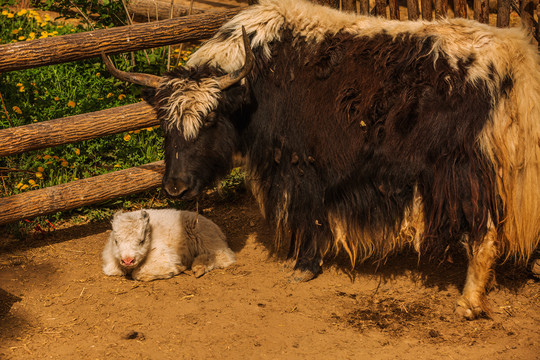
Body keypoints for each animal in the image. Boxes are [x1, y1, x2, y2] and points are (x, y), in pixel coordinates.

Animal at [102, 208, 235, 282]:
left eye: (142, 241)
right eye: (116, 241)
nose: (127, 260)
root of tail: (218, 230)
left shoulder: (164, 258)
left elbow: (138, 273)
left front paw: (176, 270)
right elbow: (112, 271)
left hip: (206, 239)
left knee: (224, 256)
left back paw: (198, 267)